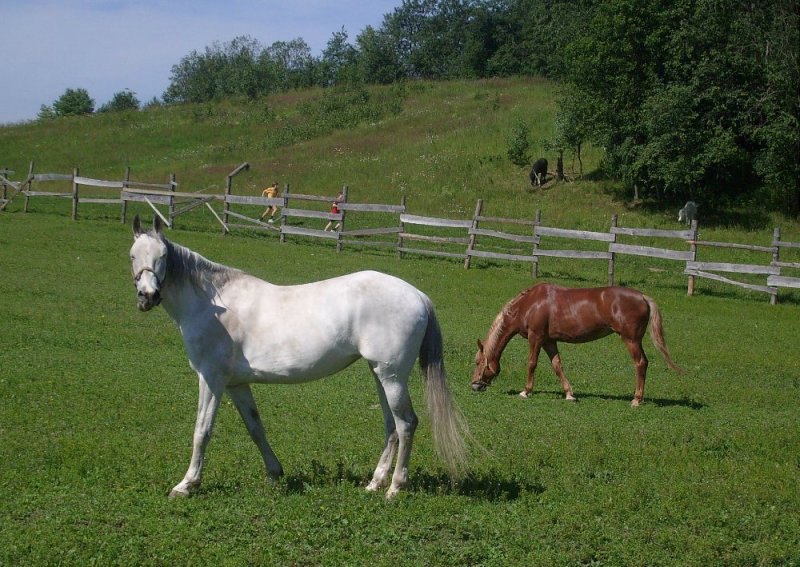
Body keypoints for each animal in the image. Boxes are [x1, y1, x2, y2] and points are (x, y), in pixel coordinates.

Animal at [130, 215, 468, 500]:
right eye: (133, 255)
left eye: (162, 256)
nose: (147, 296)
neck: (213, 305)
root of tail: (418, 296)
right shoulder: (236, 384)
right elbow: (255, 428)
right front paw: (274, 474)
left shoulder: (211, 379)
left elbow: (202, 430)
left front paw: (186, 485)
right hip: (380, 375)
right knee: (392, 427)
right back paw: (375, 483)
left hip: (392, 377)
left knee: (406, 424)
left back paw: (395, 488)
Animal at [472, 284, 684, 408]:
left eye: (477, 362)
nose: (474, 385)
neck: (529, 304)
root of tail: (643, 297)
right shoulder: (549, 341)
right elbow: (557, 365)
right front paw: (569, 394)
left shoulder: (536, 337)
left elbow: (532, 364)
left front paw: (526, 391)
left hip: (631, 340)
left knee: (640, 363)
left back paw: (636, 399)